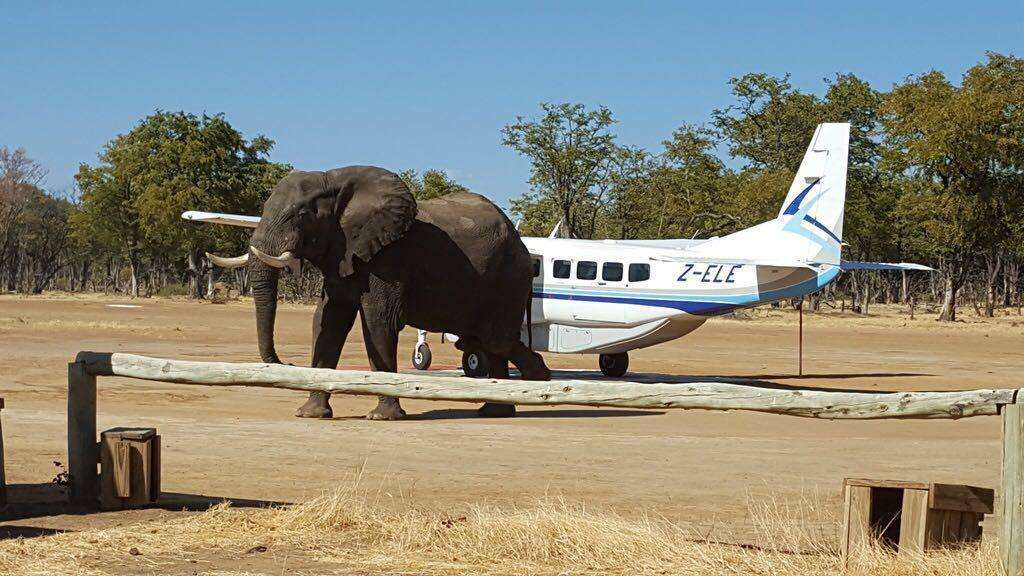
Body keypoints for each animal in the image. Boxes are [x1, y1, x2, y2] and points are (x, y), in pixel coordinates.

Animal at [209, 163, 552, 420]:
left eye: (302, 215)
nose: (288, 364)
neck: (333, 180)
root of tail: (522, 244)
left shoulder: (389, 258)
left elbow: (378, 321)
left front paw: (382, 417)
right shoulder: (343, 253)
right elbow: (327, 322)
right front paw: (310, 414)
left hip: (509, 278)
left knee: (495, 338)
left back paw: (539, 381)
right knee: (488, 340)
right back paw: (499, 408)